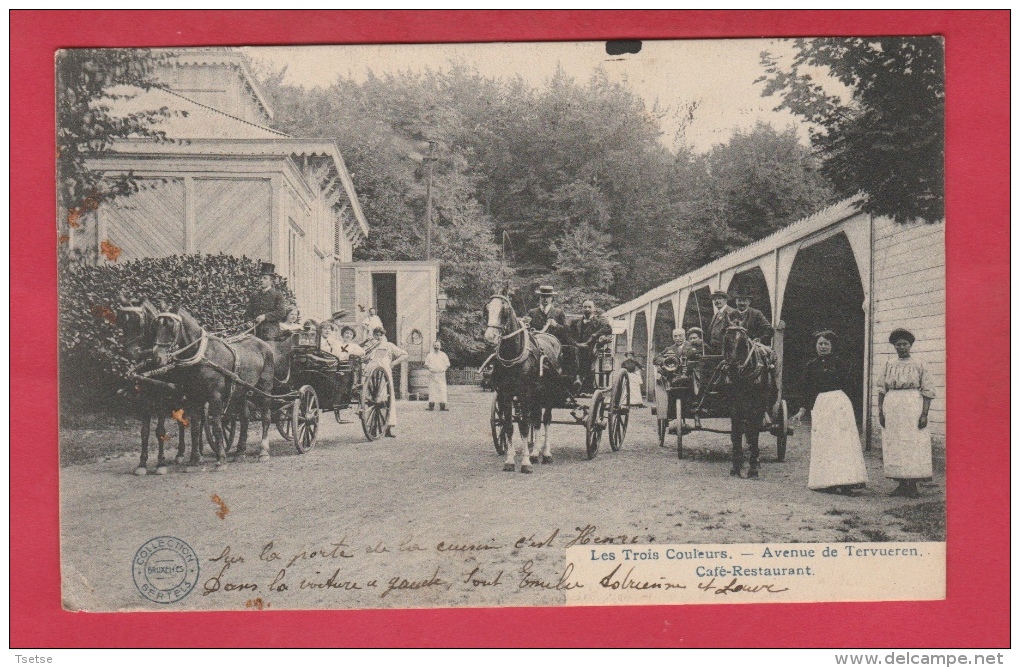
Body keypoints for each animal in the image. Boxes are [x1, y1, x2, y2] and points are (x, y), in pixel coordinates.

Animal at [150, 307, 279, 467]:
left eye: (171, 326)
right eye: (156, 325)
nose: (157, 358)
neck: (202, 355)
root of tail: (263, 344)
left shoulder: (215, 396)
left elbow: (217, 425)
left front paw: (221, 458)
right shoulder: (193, 396)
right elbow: (195, 426)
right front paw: (195, 458)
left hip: (265, 388)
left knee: (266, 417)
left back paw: (264, 452)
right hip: (241, 391)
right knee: (245, 418)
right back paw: (239, 452)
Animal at [483, 295, 563, 473]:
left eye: (504, 311)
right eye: (487, 309)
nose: (490, 337)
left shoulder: (525, 394)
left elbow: (525, 425)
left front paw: (525, 463)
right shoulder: (505, 395)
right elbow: (509, 426)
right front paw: (510, 461)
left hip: (549, 393)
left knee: (546, 419)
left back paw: (546, 454)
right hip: (537, 395)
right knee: (537, 419)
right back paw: (535, 453)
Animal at [722, 326, 775, 477]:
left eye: (744, 344)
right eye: (726, 341)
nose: (733, 368)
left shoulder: (757, 407)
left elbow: (753, 433)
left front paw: (753, 468)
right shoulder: (734, 406)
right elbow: (736, 433)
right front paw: (735, 466)